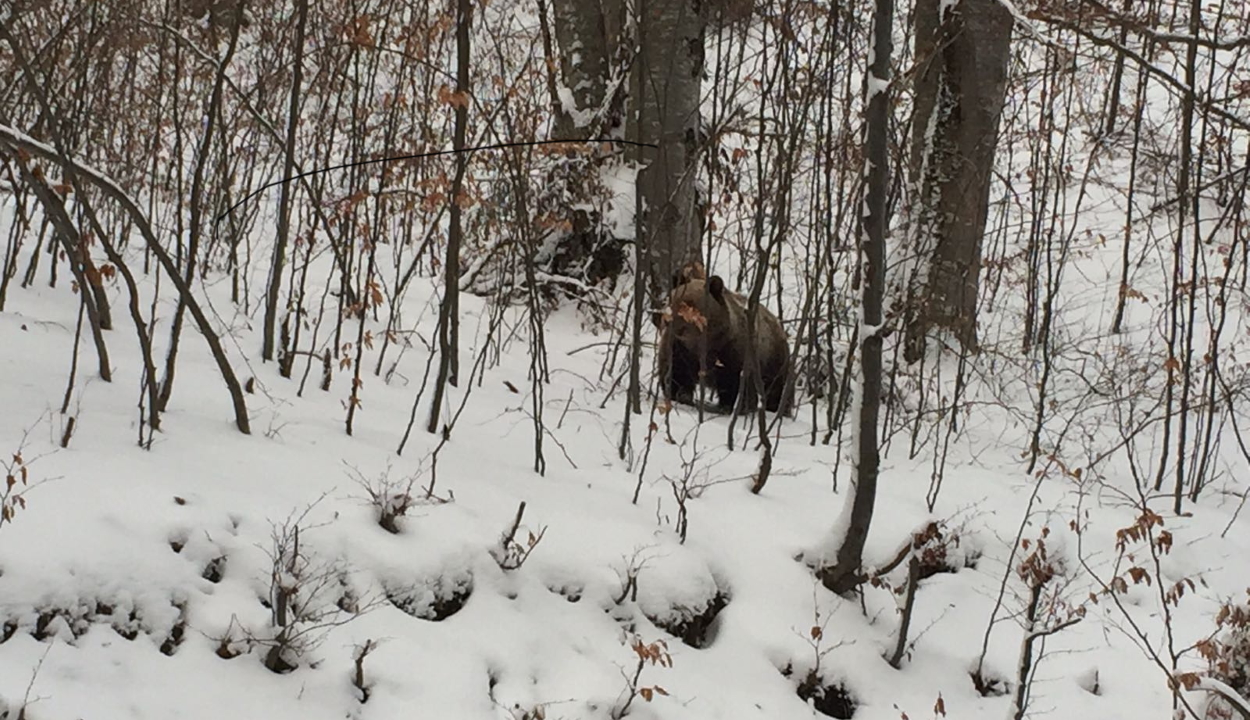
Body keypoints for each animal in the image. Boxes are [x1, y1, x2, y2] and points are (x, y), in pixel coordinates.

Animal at [655, 270, 790, 415]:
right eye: (673, 302)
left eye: (691, 305)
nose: (668, 322)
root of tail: (779, 324)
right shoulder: (680, 349)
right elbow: (676, 370)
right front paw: (681, 395)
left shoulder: (732, 352)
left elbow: (735, 381)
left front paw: (731, 406)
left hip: (775, 363)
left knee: (776, 392)